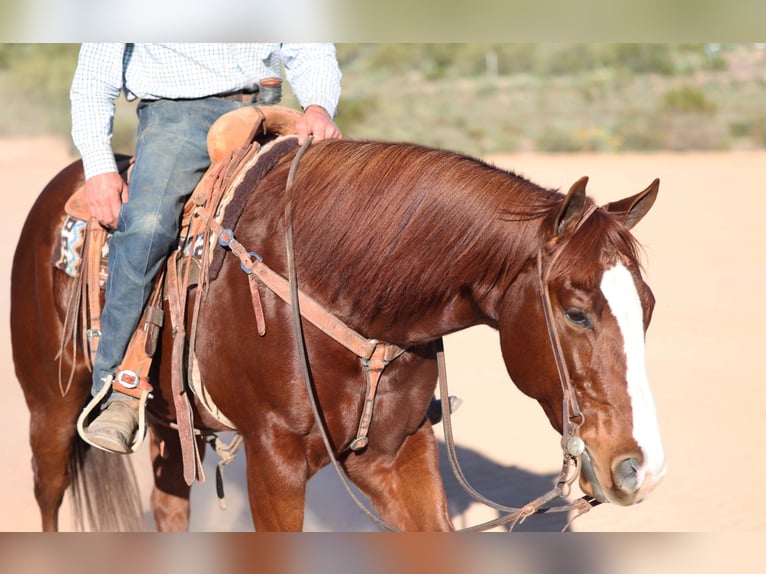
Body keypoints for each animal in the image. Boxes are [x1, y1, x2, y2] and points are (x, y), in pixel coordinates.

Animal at [11, 137, 666, 531]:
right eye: (576, 313)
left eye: (649, 308)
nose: (643, 469)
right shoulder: (273, 462)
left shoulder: (396, 453)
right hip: (50, 407)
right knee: (48, 495)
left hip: (173, 423)